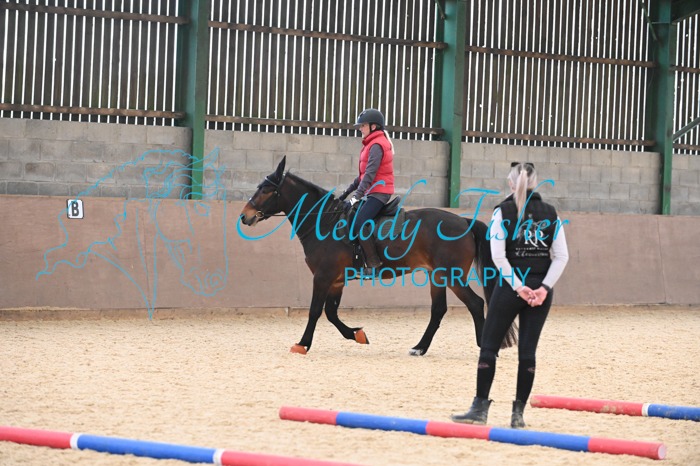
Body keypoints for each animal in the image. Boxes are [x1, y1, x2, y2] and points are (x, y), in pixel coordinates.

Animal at [238, 156, 517, 355]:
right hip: (437, 276)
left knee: (475, 303)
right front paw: (357, 334)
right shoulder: (336, 280)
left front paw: (303, 344)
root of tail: (464, 222)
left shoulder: (323, 277)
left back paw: (482, 347)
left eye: (266, 190)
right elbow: (331, 313)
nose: (244, 216)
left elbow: (316, 311)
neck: (325, 223)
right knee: (439, 310)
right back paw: (419, 348)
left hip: (452, 275)